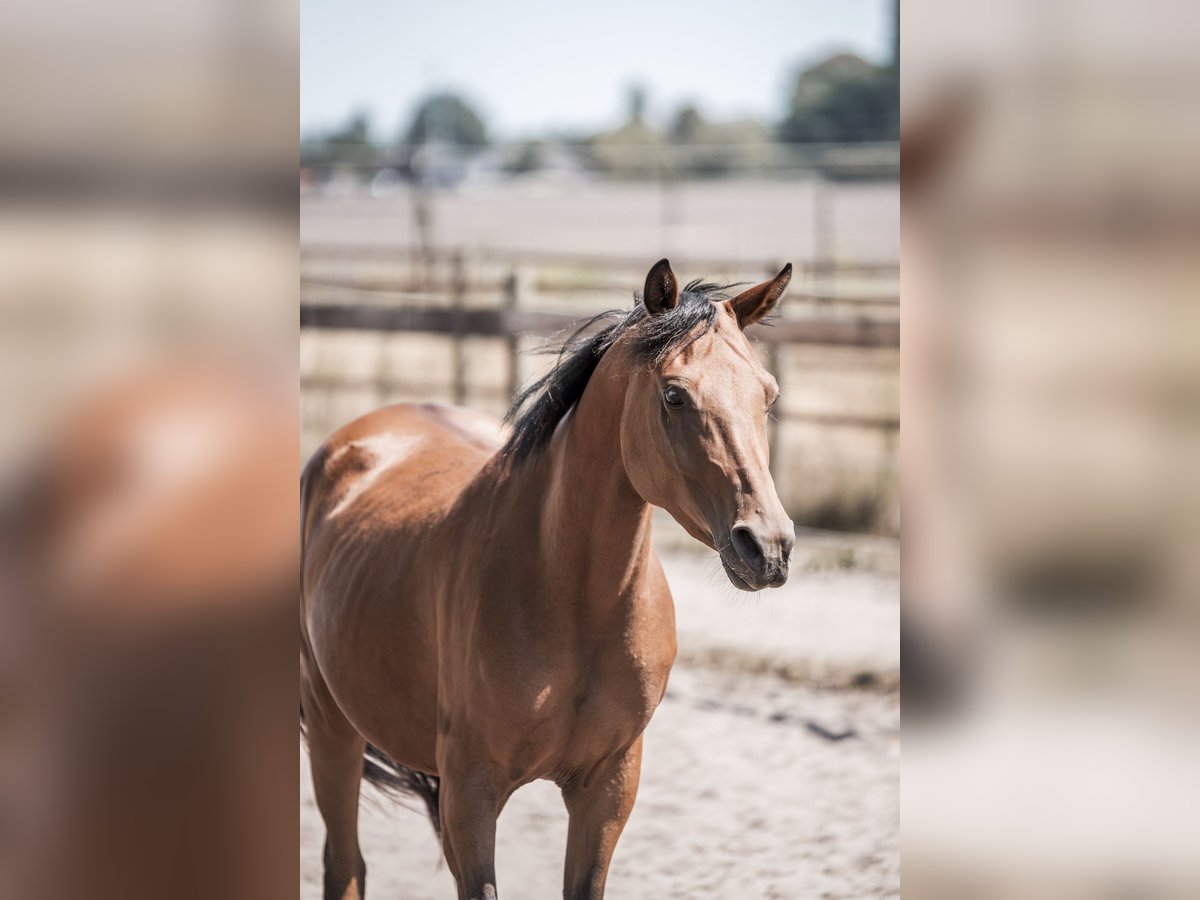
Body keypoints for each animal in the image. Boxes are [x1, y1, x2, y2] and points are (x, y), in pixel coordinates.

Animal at [300, 259, 796, 900]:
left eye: (768, 393)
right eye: (674, 394)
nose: (768, 546)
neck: (568, 597)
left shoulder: (607, 789)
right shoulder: (471, 795)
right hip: (331, 728)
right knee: (345, 864)